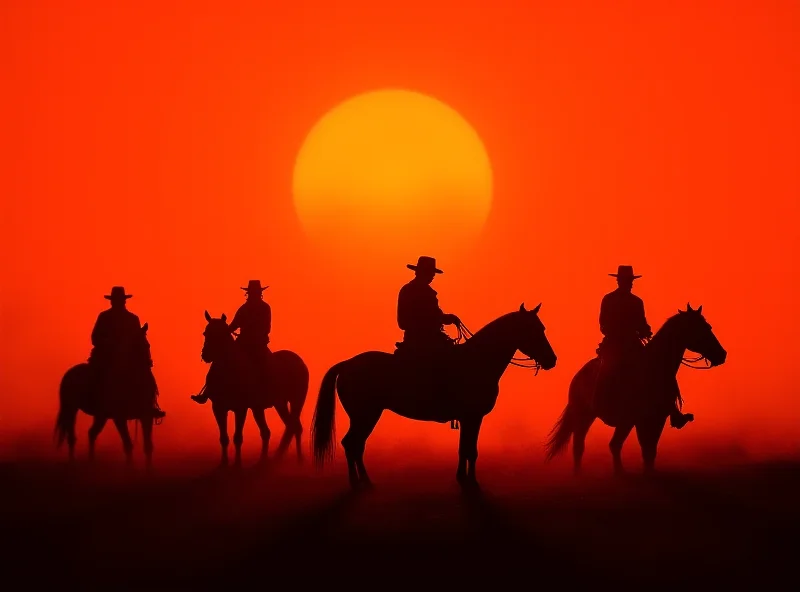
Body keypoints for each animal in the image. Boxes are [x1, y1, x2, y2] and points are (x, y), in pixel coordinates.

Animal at [54, 324, 159, 468]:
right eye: (135, 345)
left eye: (147, 345)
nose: (148, 364)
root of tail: (69, 373)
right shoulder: (119, 417)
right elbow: (128, 445)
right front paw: (130, 469)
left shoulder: (146, 415)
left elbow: (148, 446)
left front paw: (149, 470)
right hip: (71, 409)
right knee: (72, 437)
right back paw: (73, 463)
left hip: (101, 415)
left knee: (91, 433)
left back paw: (91, 461)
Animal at [200, 310, 310, 468]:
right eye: (205, 333)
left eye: (222, 334)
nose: (206, 355)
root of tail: (300, 362)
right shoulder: (218, 407)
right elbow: (224, 438)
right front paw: (224, 464)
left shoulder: (241, 408)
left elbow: (238, 437)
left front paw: (237, 465)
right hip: (279, 404)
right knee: (282, 428)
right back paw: (272, 459)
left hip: (297, 400)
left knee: (293, 427)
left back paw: (297, 459)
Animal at [310, 302, 556, 488]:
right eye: (534, 330)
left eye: (542, 327)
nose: (552, 360)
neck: (478, 361)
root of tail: (347, 364)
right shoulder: (473, 417)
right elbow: (470, 450)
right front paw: (472, 482)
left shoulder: (468, 418)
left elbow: (464, 449)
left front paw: (462, 477)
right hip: (365, 415)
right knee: (352, 444)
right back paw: (358, 483)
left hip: (366, 416)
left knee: (356, 445)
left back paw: (364, 481)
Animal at [548, 302, 728, 474]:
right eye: (702, 328)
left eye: (708, 326)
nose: (722, 354)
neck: (652, 368)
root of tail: (578, 376)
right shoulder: (635, 420)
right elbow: (638, 448)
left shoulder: (657, 418)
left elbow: (650, 451)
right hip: (586, 416)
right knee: (584, 445)